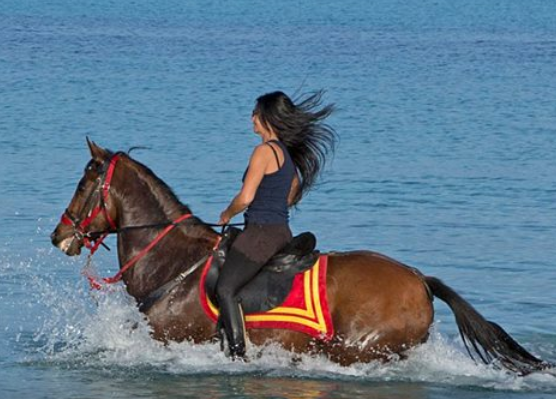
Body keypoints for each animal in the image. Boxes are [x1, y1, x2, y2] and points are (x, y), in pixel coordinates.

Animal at [50, 142, 548, 376]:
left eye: (83, 184)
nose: (60, 236)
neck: (177, 265)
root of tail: (420, 279)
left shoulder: (172, 340)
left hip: (358, 347)